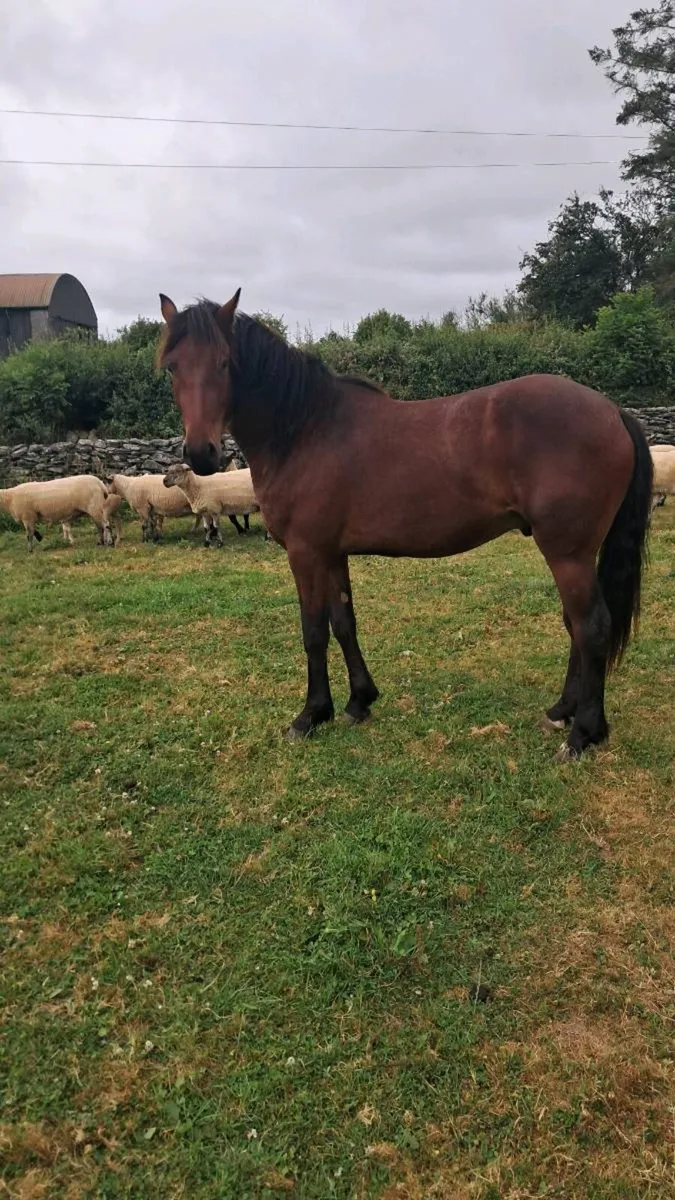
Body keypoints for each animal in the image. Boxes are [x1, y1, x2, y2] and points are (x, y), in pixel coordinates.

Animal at [156, 290, 652, 761]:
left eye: (225, 362)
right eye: (172, 368)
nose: (200, 453)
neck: (304, 430)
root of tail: (611, 410)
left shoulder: (305, 552)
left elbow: (313, 631)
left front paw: (311, 715)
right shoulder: (331, 553)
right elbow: (344, 622)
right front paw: (359, 702)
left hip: (568, 553)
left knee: (591, 627)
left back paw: (582, 733)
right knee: (575, 625)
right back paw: (561, 711)